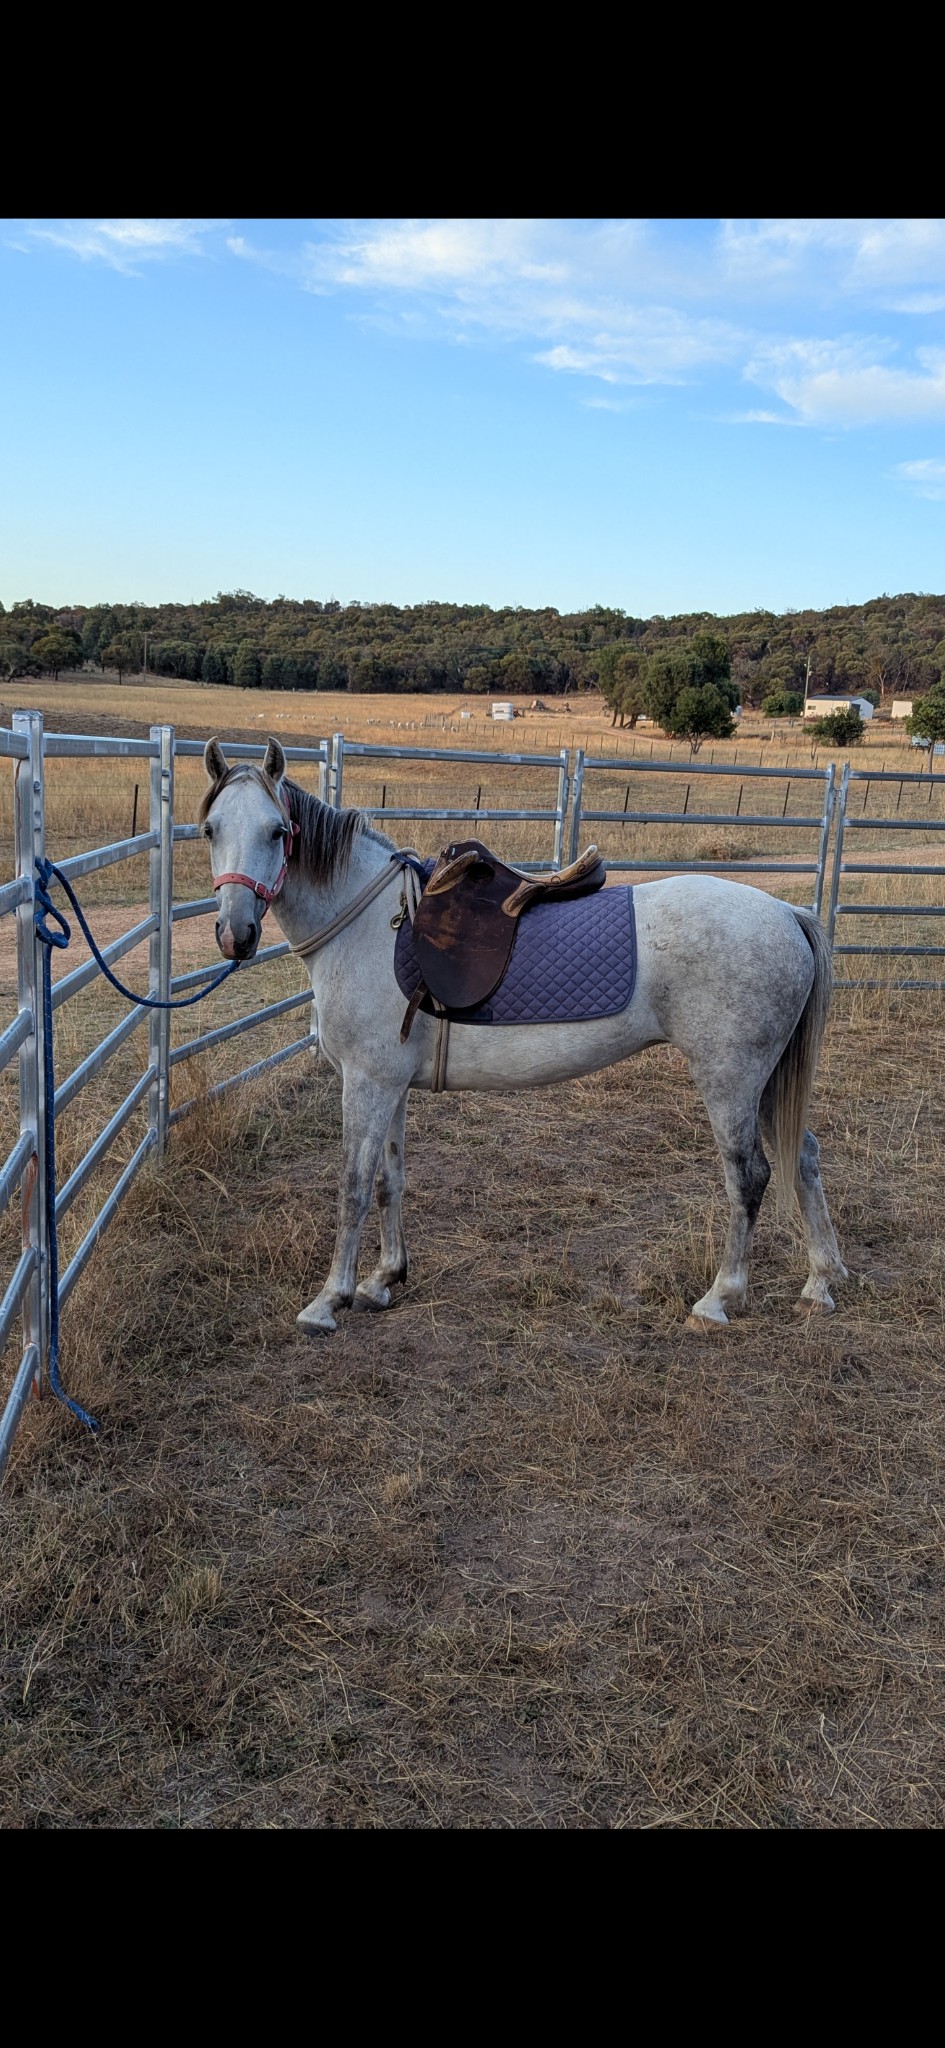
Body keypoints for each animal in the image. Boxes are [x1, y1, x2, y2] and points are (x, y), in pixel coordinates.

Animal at [200, 736, 847, 1334]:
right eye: (209, 830)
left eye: (278, 831)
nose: (236, 934)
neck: (370, 924)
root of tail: (787, 914)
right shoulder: (390, 1085)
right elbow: (390, 1179)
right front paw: (384, 1278)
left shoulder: (366, 1082)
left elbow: (353, 1187)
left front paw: (328, 1300)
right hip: (765, 1080)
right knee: (805, 1155)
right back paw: (821, 1281)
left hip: (729, 1079)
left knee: (750, 1175)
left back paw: (719, 1299)